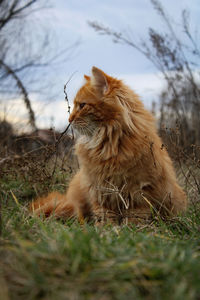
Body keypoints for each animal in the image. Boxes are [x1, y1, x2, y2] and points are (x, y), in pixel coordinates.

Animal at [30, 66, 188, 225]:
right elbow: (105, 216)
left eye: (82, 105)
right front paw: (106, 228)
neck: (109, 143)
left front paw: (129, 228)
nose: (69, 119)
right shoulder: (100, 191)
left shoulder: (139, 192)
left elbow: (135, 217)